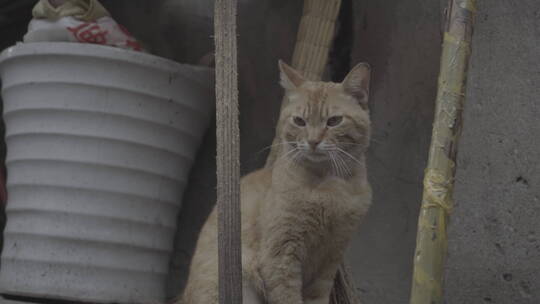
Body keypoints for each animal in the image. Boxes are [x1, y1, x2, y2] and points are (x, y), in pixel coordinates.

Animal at [179, 60, 374, 302]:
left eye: (334, 121)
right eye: (299, 121)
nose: (313, 141)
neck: (328, 187)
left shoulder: (329, 262)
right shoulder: (281, 256)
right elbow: (287, 297)